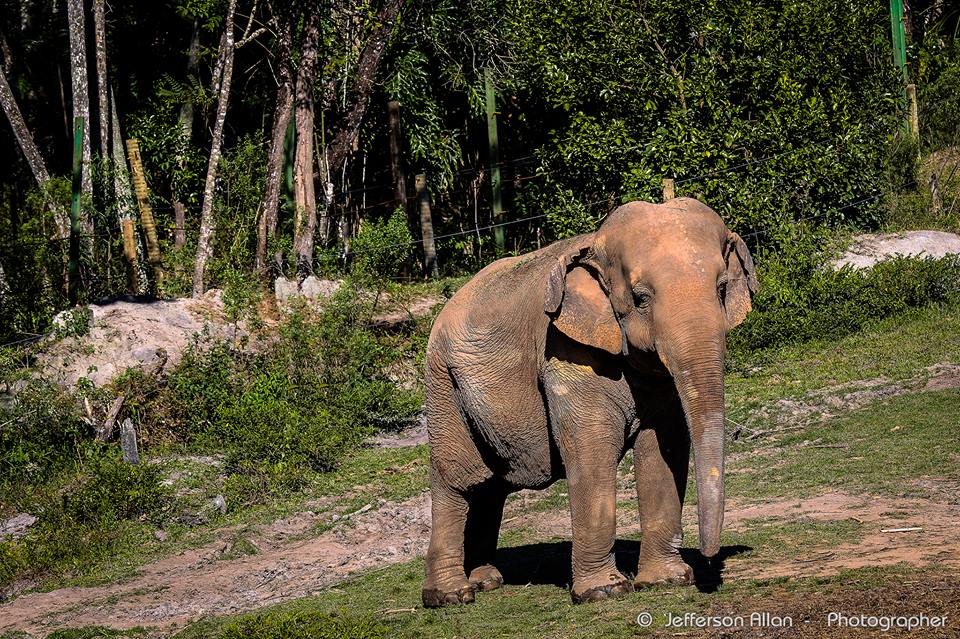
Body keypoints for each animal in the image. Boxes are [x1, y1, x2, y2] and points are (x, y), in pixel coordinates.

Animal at [421, 197, 758, 607]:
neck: (596, 242)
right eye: (641, 298)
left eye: (722, 287)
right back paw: (452, 595)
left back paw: (487, 581)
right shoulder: (564, 351)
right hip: (443, 386)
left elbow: (662, 447)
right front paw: (604, 591)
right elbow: (592, 448)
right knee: (458, 481)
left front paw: (666, 581)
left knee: (490, 486)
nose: (709, 560)